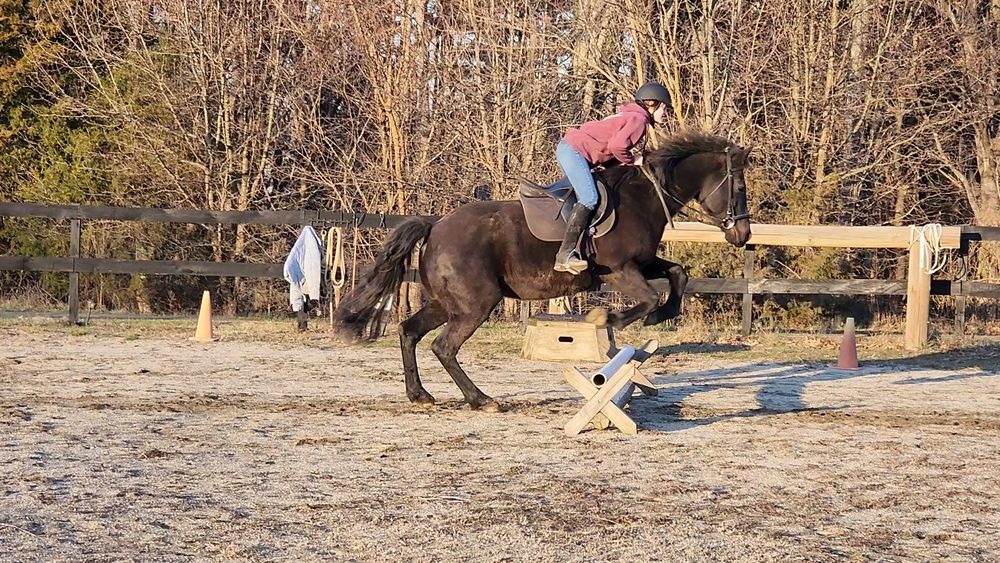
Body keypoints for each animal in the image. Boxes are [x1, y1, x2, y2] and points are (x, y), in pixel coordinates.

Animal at [334, 130, 753, 412]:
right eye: (738, 188)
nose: (743, 235)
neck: (644, 196)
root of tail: (436, 226)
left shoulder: (644, 262)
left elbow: (678, 274)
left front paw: (663, 314)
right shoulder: (619, 271)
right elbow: (648, 298)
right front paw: (608, 319)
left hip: (445, 302)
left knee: (410, 332)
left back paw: (420, 394)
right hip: (475, 304)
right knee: (444, 346)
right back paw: (482, 399)